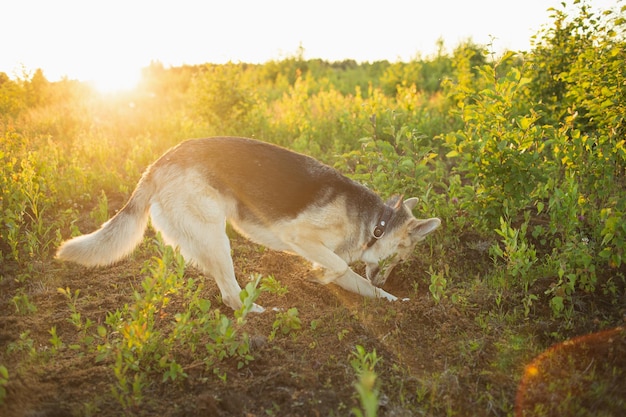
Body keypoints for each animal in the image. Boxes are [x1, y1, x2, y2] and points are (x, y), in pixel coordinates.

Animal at [57, 137, 438, 312]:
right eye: (400, 259)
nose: (389, 277)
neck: (377, 222)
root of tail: (158, 163)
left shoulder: (335, 259)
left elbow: (364, 285)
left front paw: (397, 302)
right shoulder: (300, 236)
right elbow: (341, 266)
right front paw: (318, 277)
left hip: (203, 237)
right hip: (217, 237)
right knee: (230, 296)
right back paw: (256, 311)